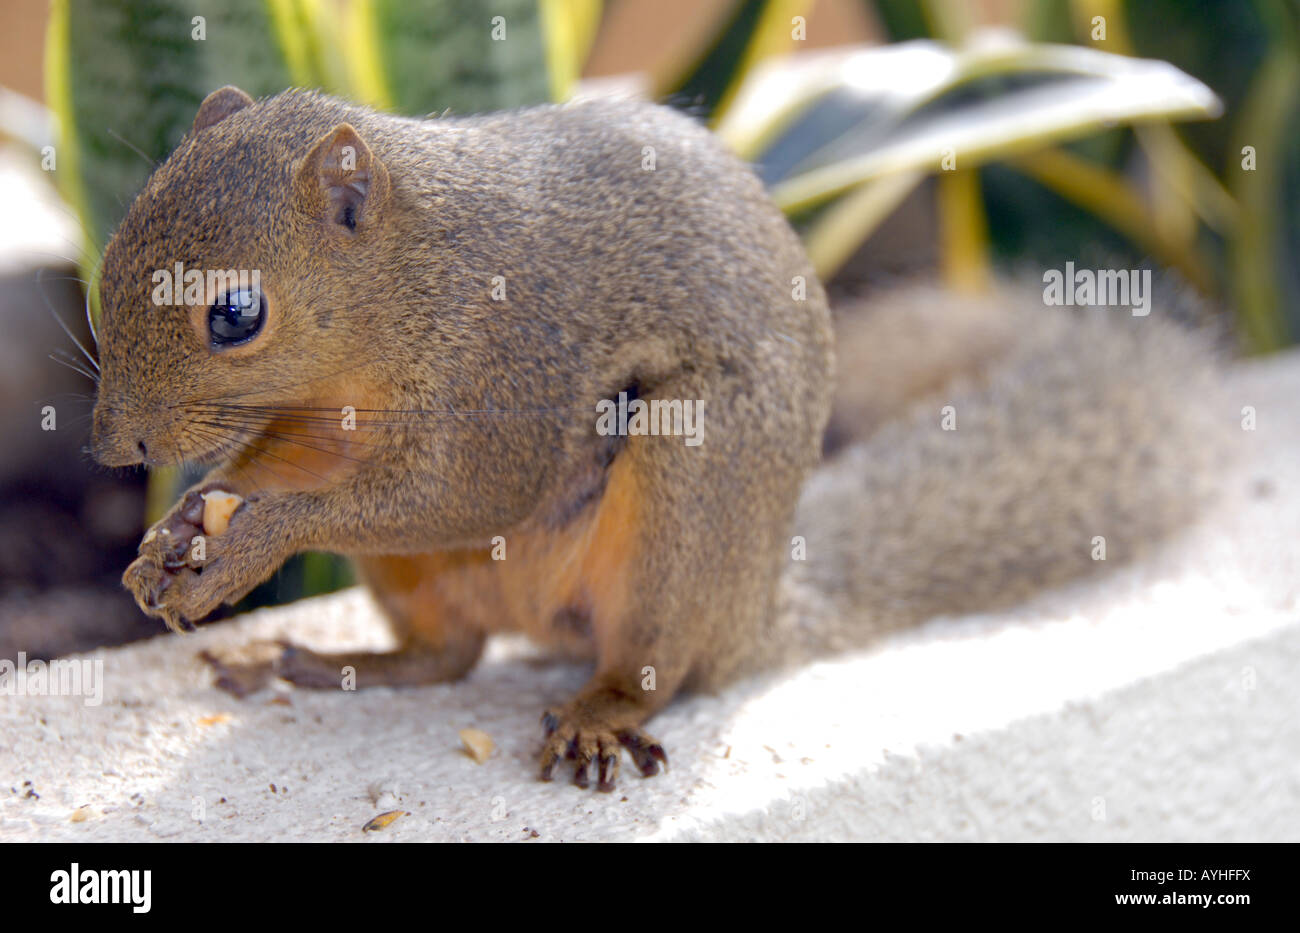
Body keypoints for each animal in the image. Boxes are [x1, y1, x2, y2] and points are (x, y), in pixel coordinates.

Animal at [89, 87, 1227, 795]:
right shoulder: (321, 419)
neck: (408, 278)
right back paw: (334, 663)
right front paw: (176, 537)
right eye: (106, 265)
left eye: (237, 314)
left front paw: (250, 538)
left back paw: (597, 711)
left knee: (649, 665)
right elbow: (286, 464)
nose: (112, 451)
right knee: (449, 654)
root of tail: (757, 607)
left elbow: (466, 492)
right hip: (432, 585)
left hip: (687, 491)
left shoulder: (511, 363)